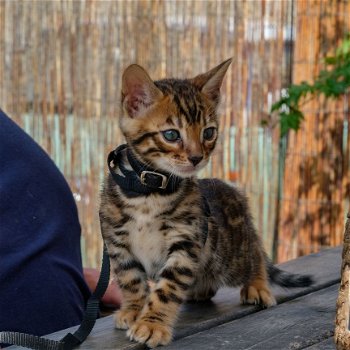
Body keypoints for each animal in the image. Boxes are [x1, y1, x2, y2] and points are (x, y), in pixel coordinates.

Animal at [99, 59, 312, 348]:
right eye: (171, 134)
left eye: (208, 132)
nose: (197, 157)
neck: (149, 192)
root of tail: (233, 192)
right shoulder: (118, 244)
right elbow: (130, 280)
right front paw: (134, 310)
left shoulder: (185, 243)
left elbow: (167, 288)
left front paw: (153, 324)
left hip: (230, 254)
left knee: (255, 252)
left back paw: (257, 285)